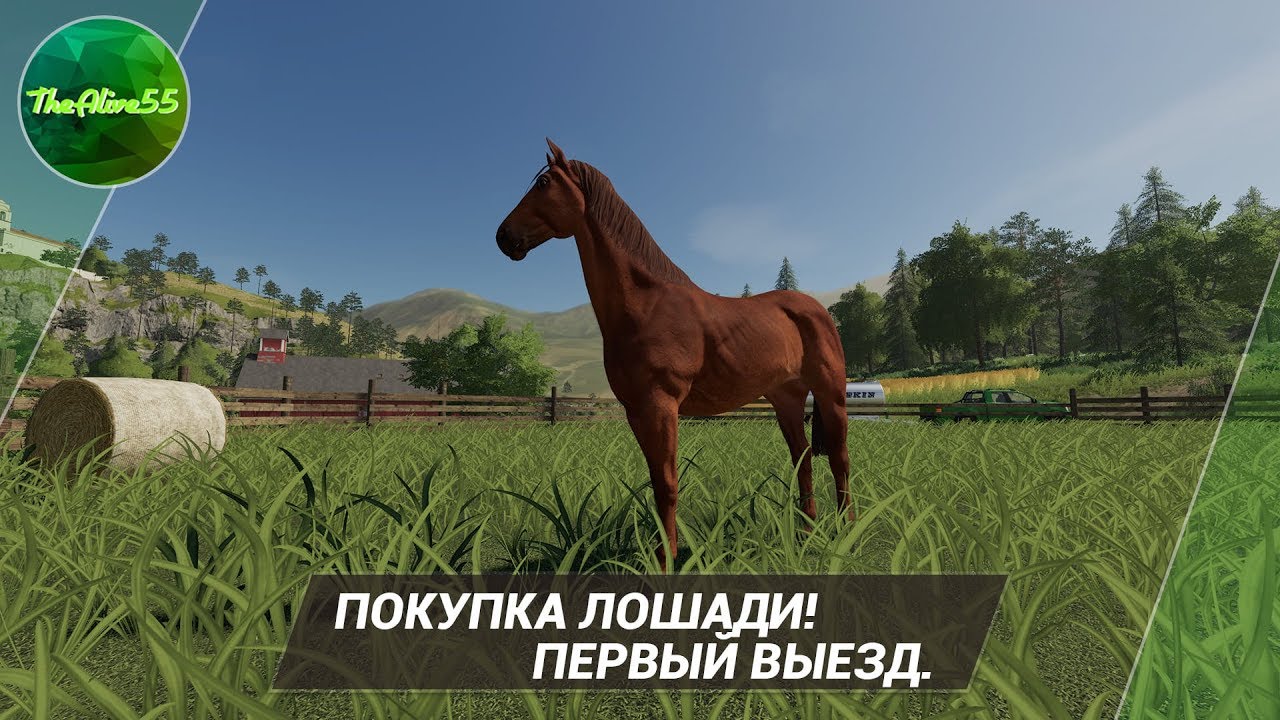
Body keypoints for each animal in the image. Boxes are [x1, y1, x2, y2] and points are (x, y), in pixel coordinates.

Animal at [496, 139, 852, 571]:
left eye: (544, 183)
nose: (503, 236)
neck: (646, 304)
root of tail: (814, 309)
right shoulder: (638, 410)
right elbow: (656, 482)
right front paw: (658, 554)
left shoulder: (662, 405)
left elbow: (668, 484)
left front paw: (665, 561)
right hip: (786, 399)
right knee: (803, 458)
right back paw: (804, 533)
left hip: (831, 394)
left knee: (839, 458)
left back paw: (847, 532)